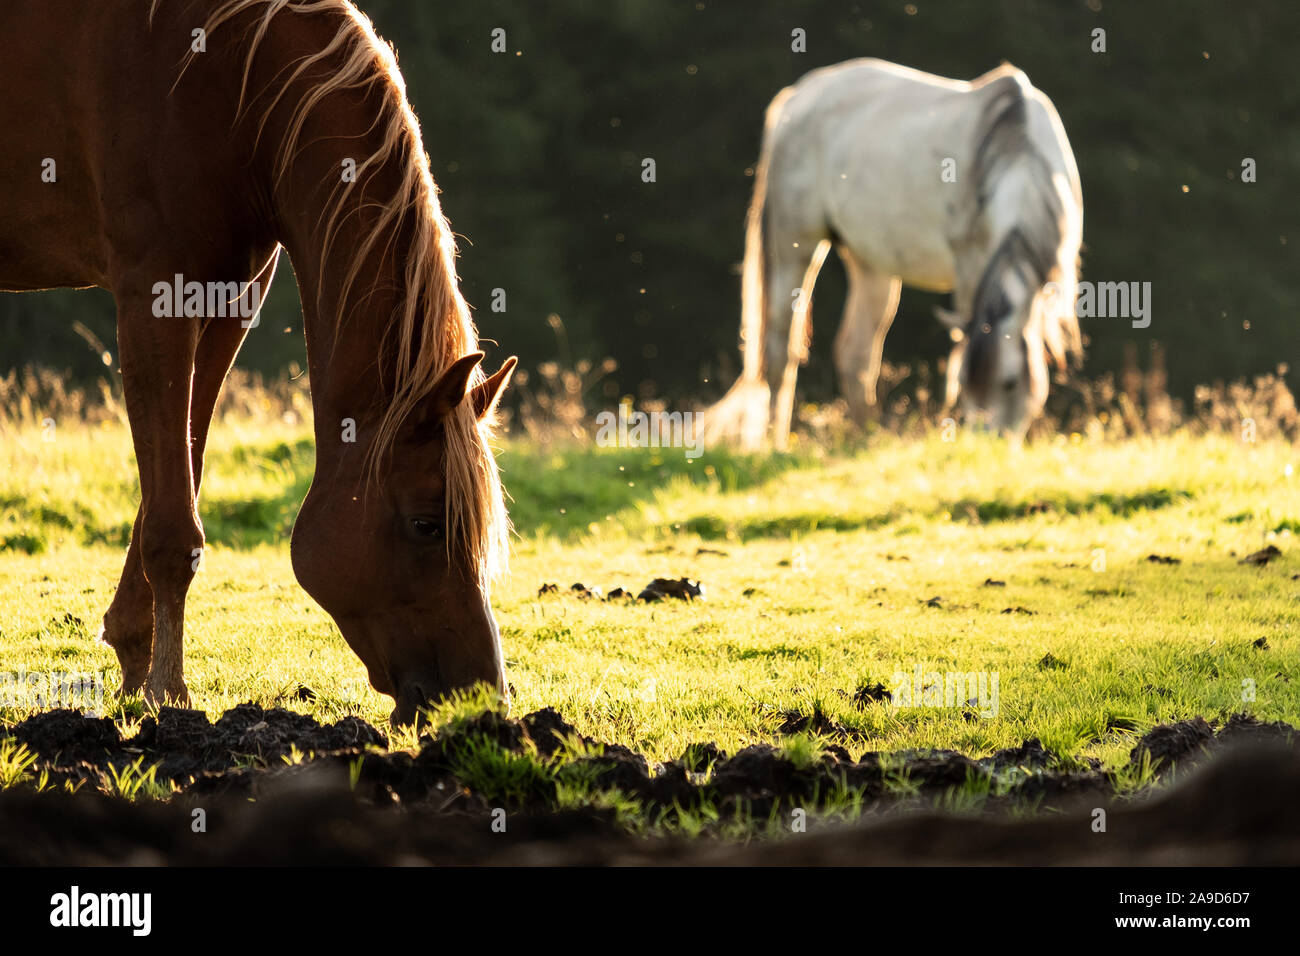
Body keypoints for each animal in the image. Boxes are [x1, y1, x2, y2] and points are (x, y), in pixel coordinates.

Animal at [0, 0, 517, 725]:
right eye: (425, 523)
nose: (480, 699)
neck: (228, 81)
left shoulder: (229, 302)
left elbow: (179, 473)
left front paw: (134, 659)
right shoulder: (154, 294)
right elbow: (172, 526)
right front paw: (169, 692)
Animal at [703, 59, 1083, 450]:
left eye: (1009, 383)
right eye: (965, 382)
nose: (987, 444)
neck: (1017, 155)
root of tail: (797, 95)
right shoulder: (969, 270)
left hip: (871, 264)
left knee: (855, 354)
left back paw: (867, 438)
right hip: (794, 246)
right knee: (780, 350)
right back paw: (775, 444)